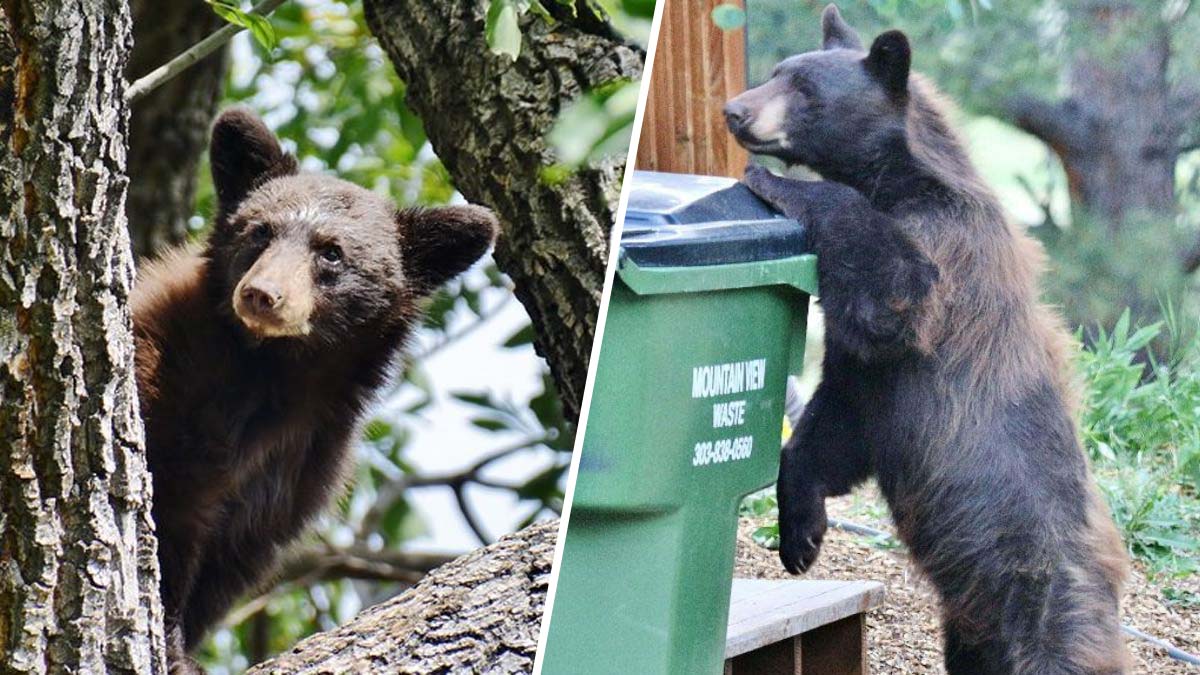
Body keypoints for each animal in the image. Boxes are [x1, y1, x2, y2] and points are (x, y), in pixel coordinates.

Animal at [131, 108, 498, 673]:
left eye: (332, 253)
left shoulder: (302, 462)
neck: (272, 373)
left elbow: (230, 560)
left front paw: (184, 645)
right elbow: (171, 516)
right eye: (260, 230)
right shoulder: (167, 381)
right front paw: (172, 648)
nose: (262, 295)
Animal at [723, 6, 1129, 674]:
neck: (900, 179)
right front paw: (801, 538)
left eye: (804, 90)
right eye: (778, 70)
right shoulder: (864, 378)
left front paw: (774, 180)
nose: (735, 110)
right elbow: (834, 428)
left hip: (1037, 594)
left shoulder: (943, 253)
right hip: (969, 622)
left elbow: (895, 292)